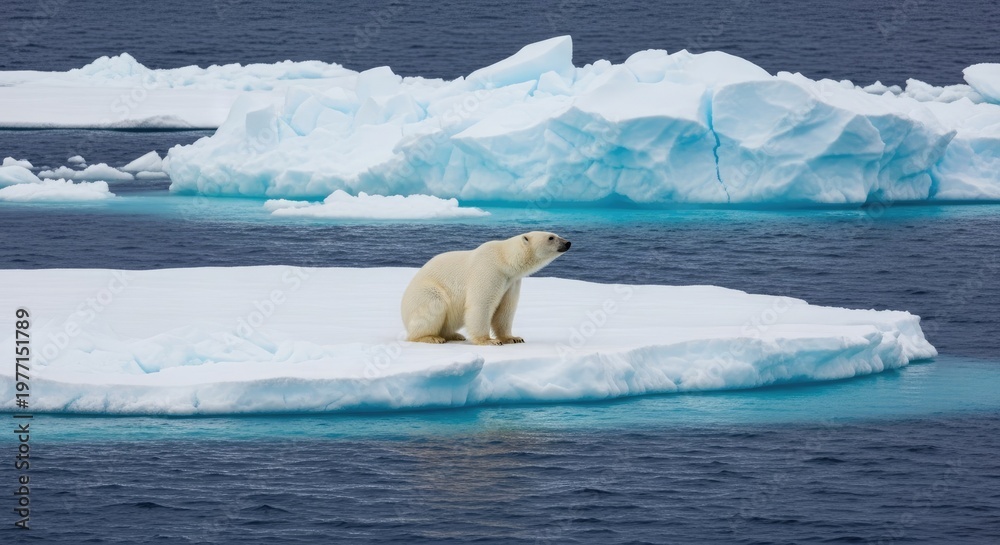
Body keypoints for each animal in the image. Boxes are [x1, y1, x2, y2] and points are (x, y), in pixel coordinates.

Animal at [401, 231, 571, 346]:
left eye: (556, 234)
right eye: (551, 237)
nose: (568, 242)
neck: (504, 259)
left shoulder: (511, 281)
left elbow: (505, 309)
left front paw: (513, 338)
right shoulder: (488, 270)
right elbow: (482, 303)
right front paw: (489, 341)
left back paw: (455, 335)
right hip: (426, 293)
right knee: (433, 306)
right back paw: (431, 337)